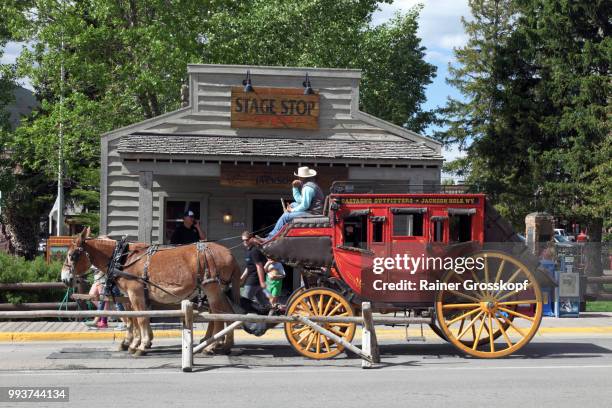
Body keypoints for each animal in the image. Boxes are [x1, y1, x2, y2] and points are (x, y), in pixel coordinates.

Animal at [61, 228, 240, 356]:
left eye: (71, 255)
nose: (64, 278)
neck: (122, 259)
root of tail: (229, 252)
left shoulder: (135, 292)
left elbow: (139, 319)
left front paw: (140, 345)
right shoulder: (129, 296)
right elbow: (135, 319)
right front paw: (137, 342)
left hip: (212, 288)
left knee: (217, 316)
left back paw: (212, 345)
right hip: (218, 290)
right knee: (227, 314)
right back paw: (224, 345)